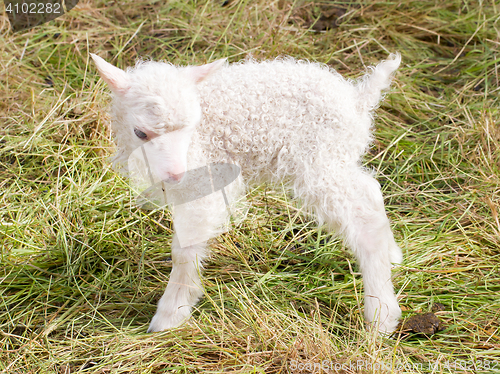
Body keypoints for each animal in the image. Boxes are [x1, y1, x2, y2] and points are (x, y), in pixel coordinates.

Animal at [89, 51, 402, 334]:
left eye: (190, 126)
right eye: (140, 133)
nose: (176, 174)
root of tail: (357, 98)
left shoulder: (202, 183)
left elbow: (184, 251)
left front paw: (171, 314)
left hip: (319, 160)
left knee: (364, 221)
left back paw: (382, 316)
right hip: (336, 158)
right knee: (370, 191)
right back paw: (393, 255)